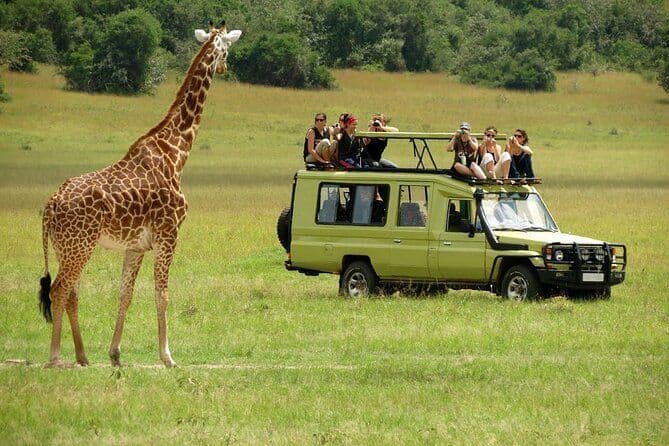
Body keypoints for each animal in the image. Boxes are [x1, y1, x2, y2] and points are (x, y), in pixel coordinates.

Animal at [38, 22, 241, 368]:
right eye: (227, 49)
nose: (226, 67)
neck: (177, 152)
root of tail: (51, 205)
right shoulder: (168, 234)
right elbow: (162, 293)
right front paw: (168, 357)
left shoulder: (135, 246)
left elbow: (125, 294)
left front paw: (115, 354)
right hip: (80, 245)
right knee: (59, 289)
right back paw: (54, 357)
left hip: (66, 246)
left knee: (71, 292)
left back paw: (82, 356)